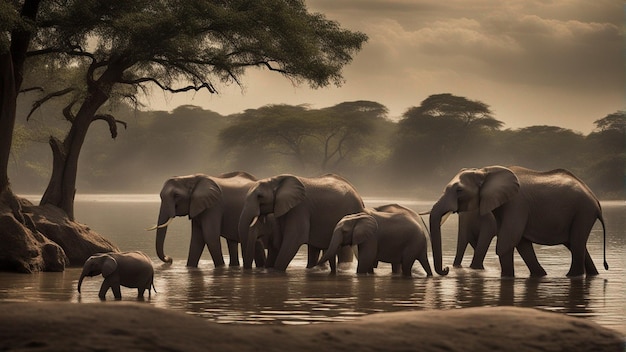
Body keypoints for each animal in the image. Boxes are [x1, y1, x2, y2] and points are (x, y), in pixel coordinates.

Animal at [428, 165, 604, 278]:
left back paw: (571, 276)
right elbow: (521, 243)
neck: (485, 171)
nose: (446, 269)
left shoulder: (516, 204)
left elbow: (506, 242)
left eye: (459, 190)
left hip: (583, 212)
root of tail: (596, 200)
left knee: (577, 243)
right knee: (575, 244)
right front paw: (538, 275)